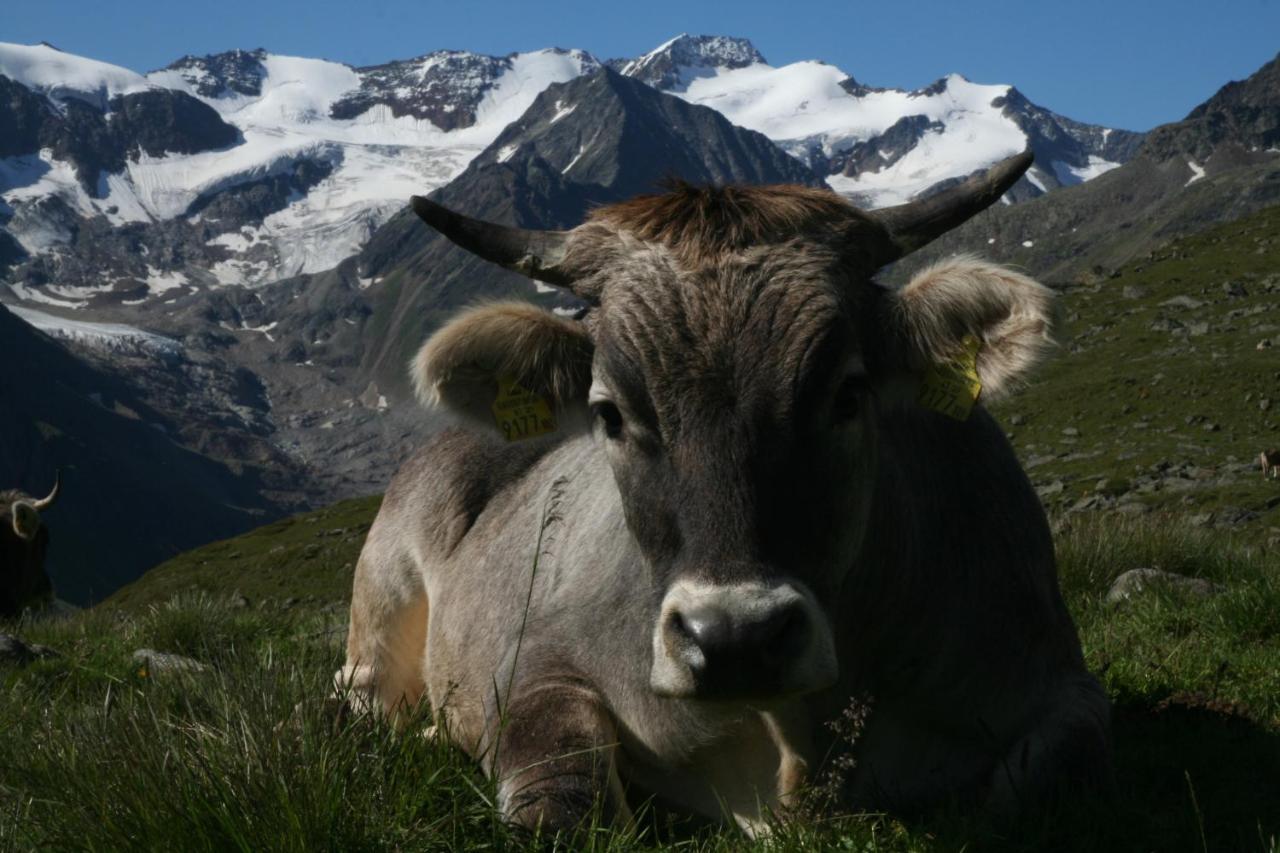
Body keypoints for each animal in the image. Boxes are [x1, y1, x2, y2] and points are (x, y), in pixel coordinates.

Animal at [337, 151, 1111, 829]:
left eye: (848, 393)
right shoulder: (533, 659)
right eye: (609, 412)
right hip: (380, 603)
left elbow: (1045, 771)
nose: (737, 638)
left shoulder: (1061, 676)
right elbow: (558, 807)